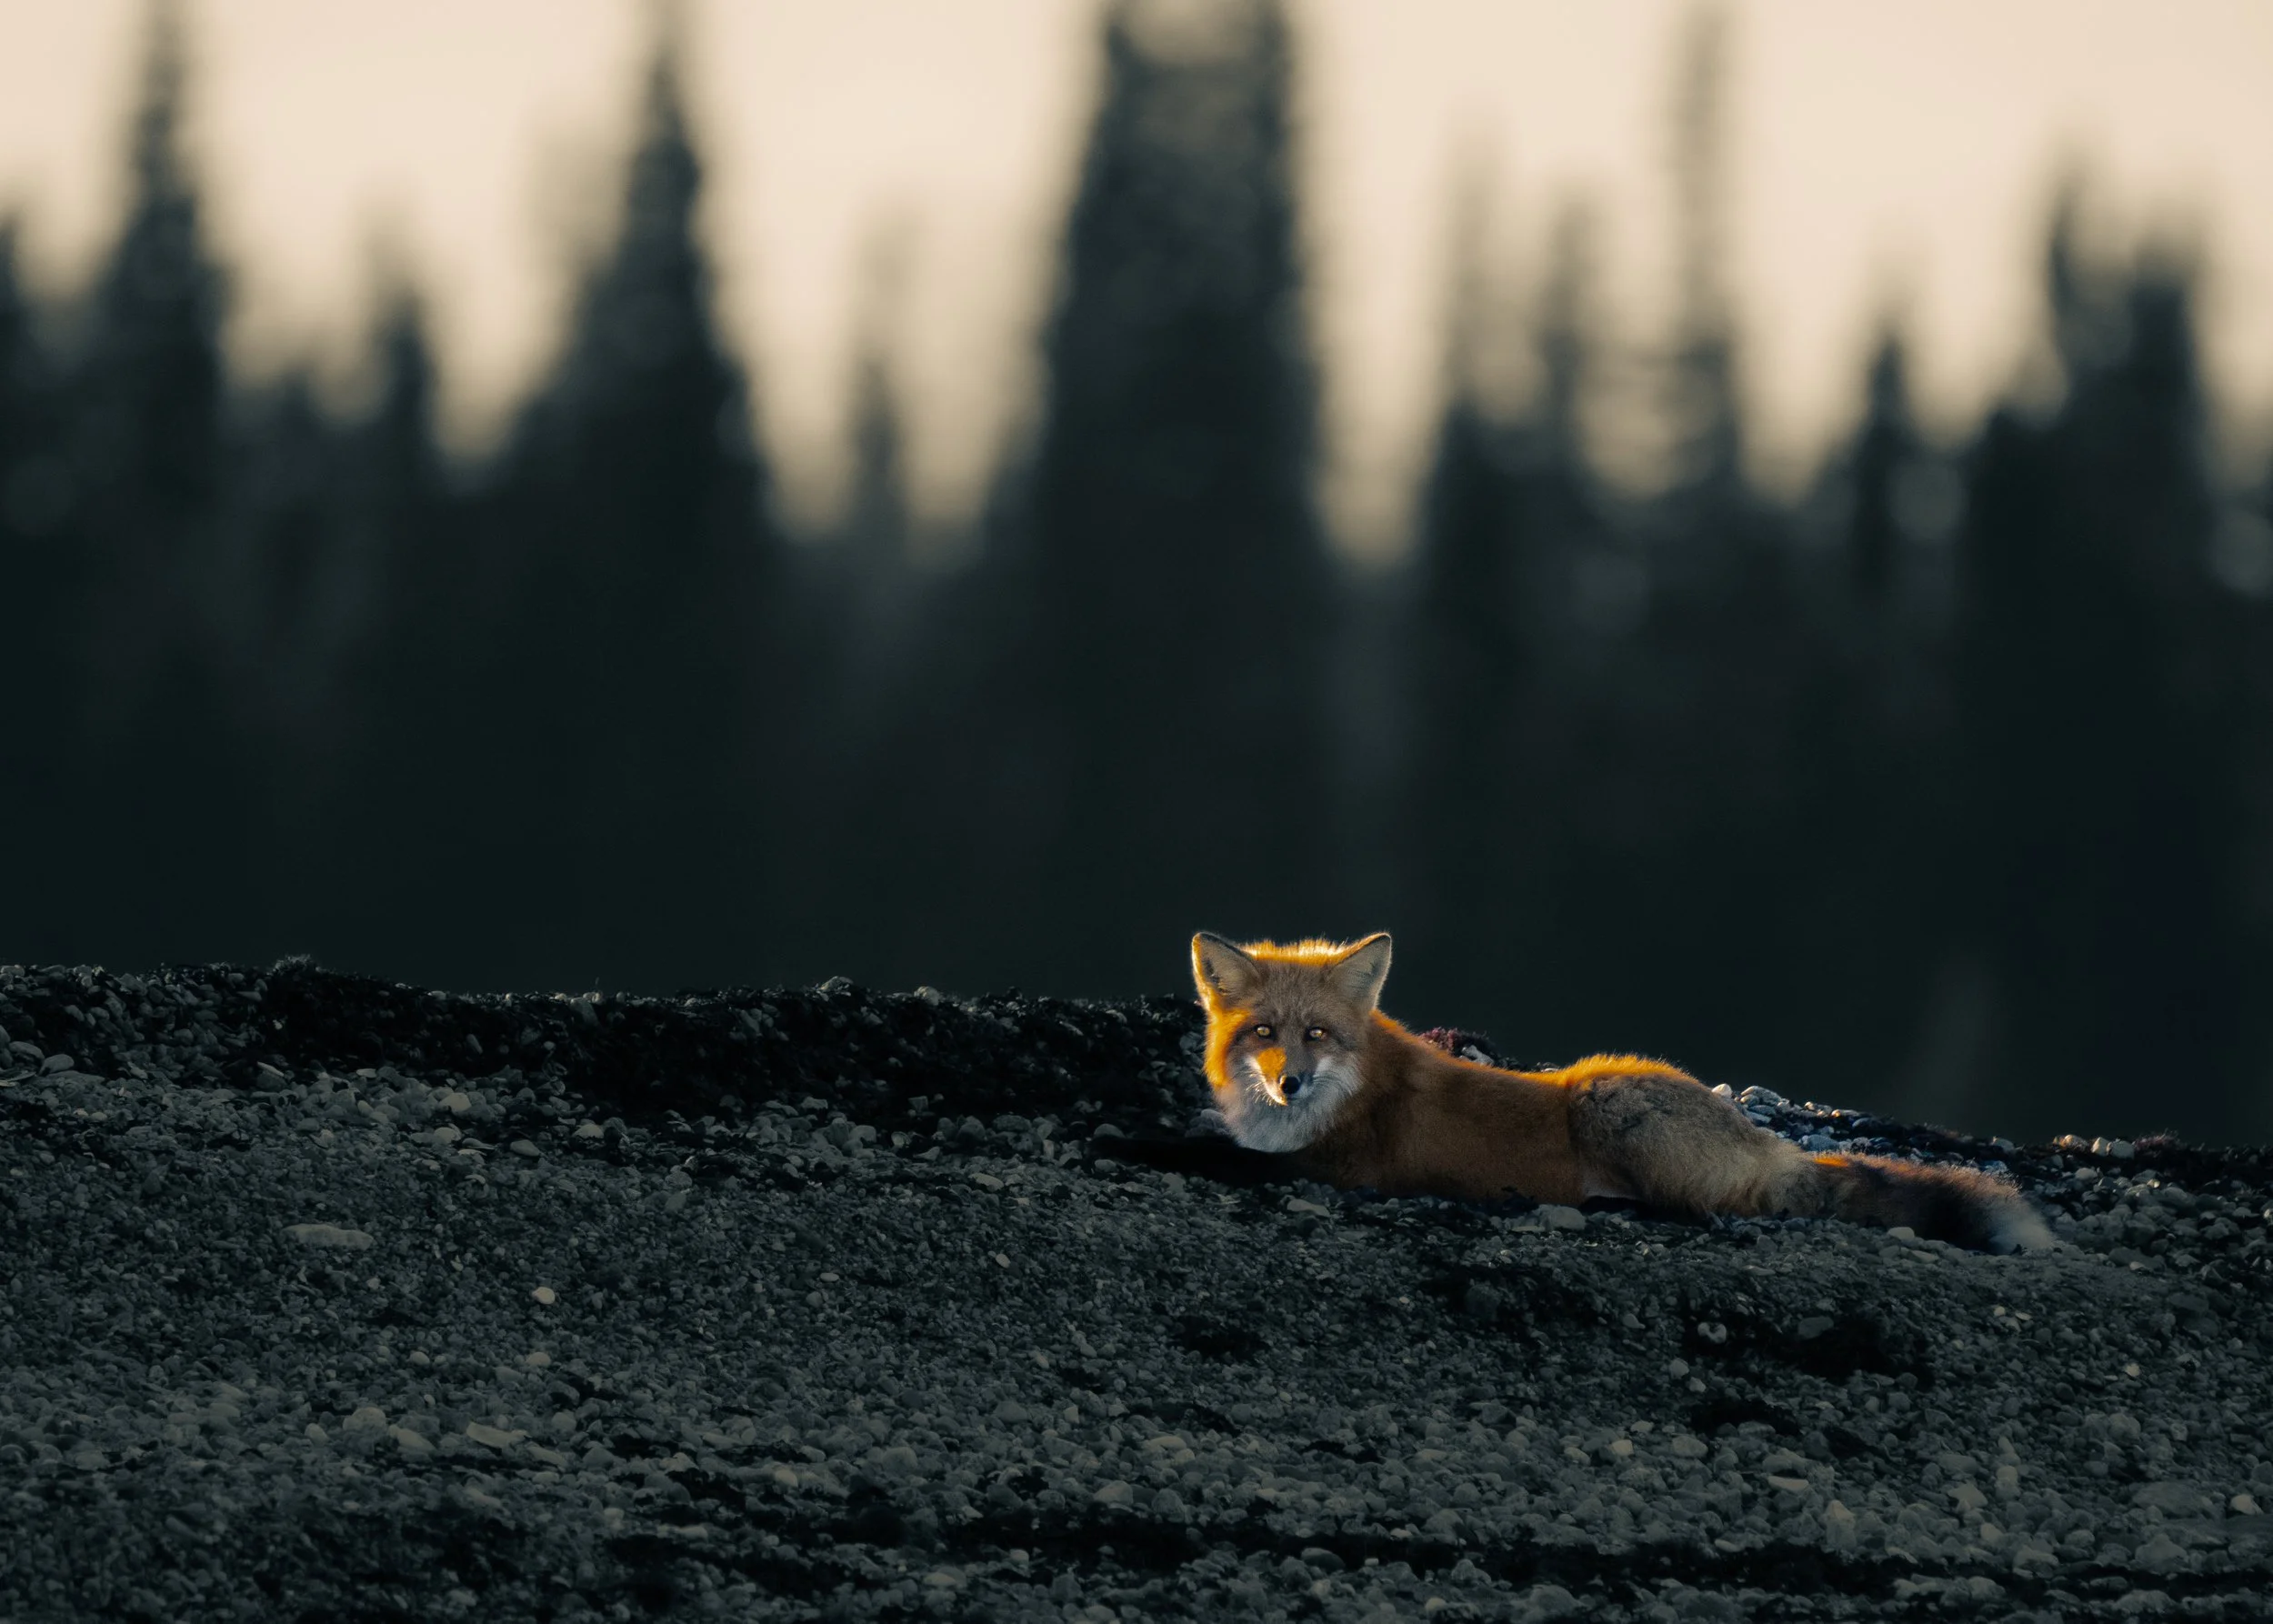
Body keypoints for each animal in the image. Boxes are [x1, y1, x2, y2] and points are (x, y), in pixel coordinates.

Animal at [1190, 931, 2054, 1253]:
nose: (1289, 1082)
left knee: (1707, 1210)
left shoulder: (1341, 1169)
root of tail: (1766, 1138)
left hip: (1604, 1093)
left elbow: (1204, 1153)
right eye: (1264, 1033)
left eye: (1318, 1034)